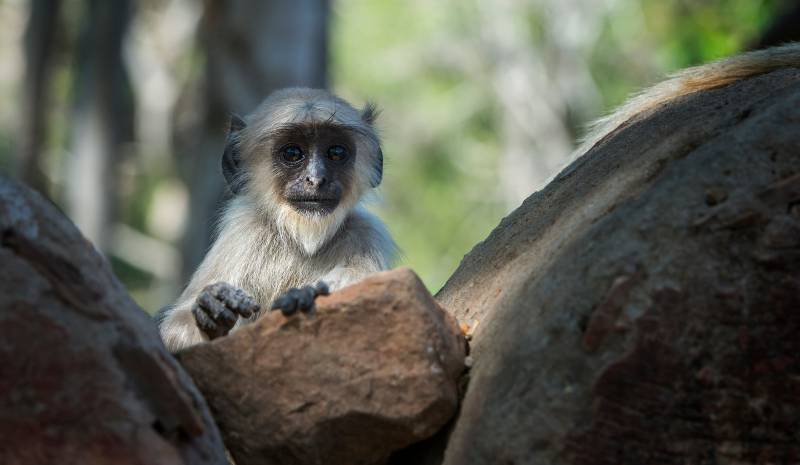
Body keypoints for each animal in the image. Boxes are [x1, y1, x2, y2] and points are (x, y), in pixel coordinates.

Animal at [156, 87, 396, 350]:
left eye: (336, 152)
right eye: (292, 153)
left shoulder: (368, 234)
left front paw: (306, 295)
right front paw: (212, 310)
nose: (316, 180)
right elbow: (173, 331)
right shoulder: (242, 231)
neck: (303, 240)